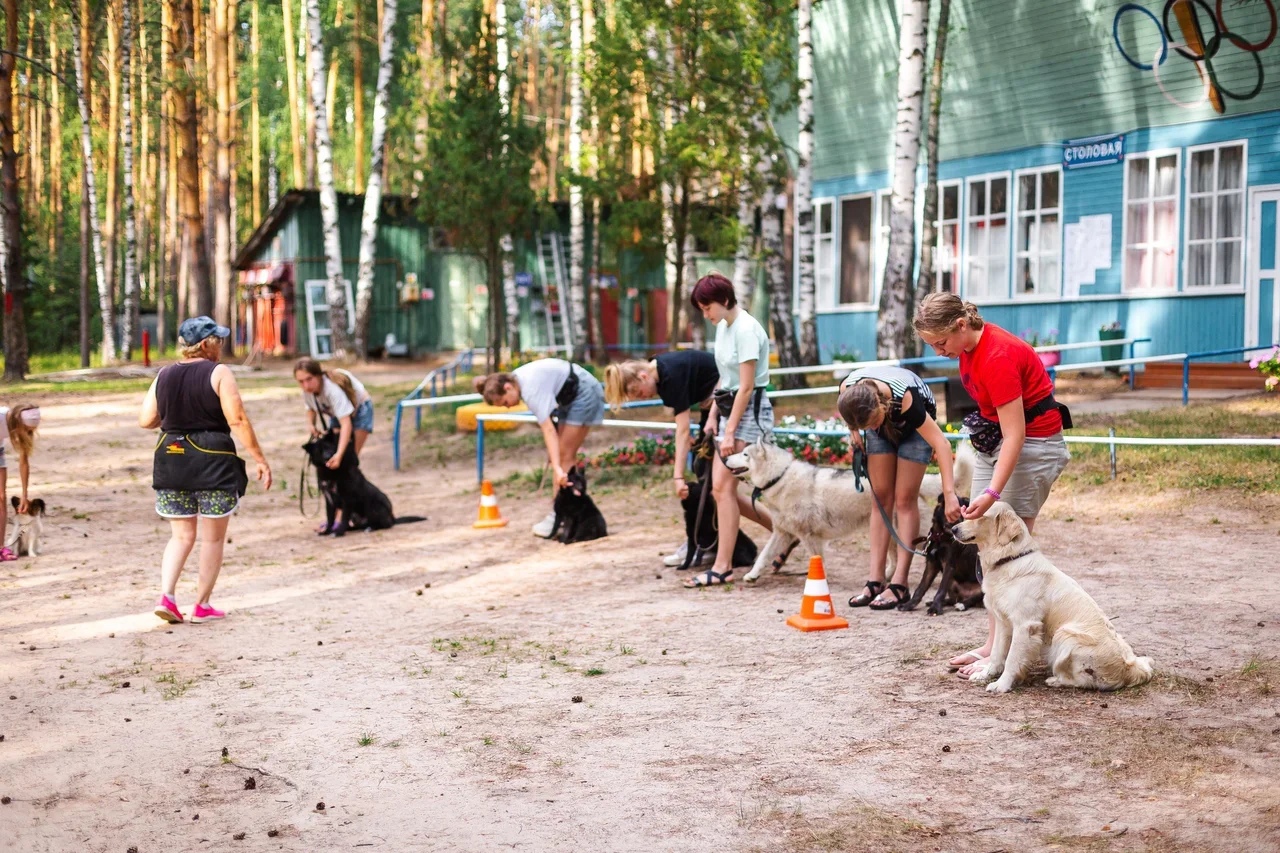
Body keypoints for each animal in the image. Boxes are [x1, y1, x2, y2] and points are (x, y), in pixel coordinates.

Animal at [727, 438, 972, 584]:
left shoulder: (809, 537)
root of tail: (912, 487)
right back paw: (885, 578)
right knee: (896, 559)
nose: (725, 457)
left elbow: (817, 560)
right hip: (890, 533)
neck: (780, 476)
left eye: (745, 454)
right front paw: (752, 575)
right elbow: (763, 556)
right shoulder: (783, 533)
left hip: (915, 535)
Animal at [952, 504, 1152, 691]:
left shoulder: (1025, 625)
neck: (1009, 558)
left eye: (980, 516)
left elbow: (1012, 659)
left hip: (1065, 634)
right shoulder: (1003, 622)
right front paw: (985, 674)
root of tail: (1130, 669)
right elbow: (996, 653)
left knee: (1083, 681)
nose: (953, 529)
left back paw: (1055, 680)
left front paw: (1002, 685)